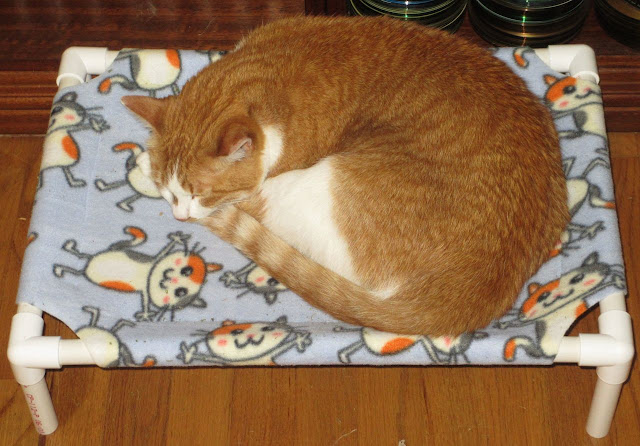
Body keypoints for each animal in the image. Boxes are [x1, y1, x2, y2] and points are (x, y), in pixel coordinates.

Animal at [121, 16, 569, 335]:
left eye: (200, 194)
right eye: (172, 193)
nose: (179, 215)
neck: (272, 68)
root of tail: (470, 295)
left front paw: (145, 166)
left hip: (311, 188)